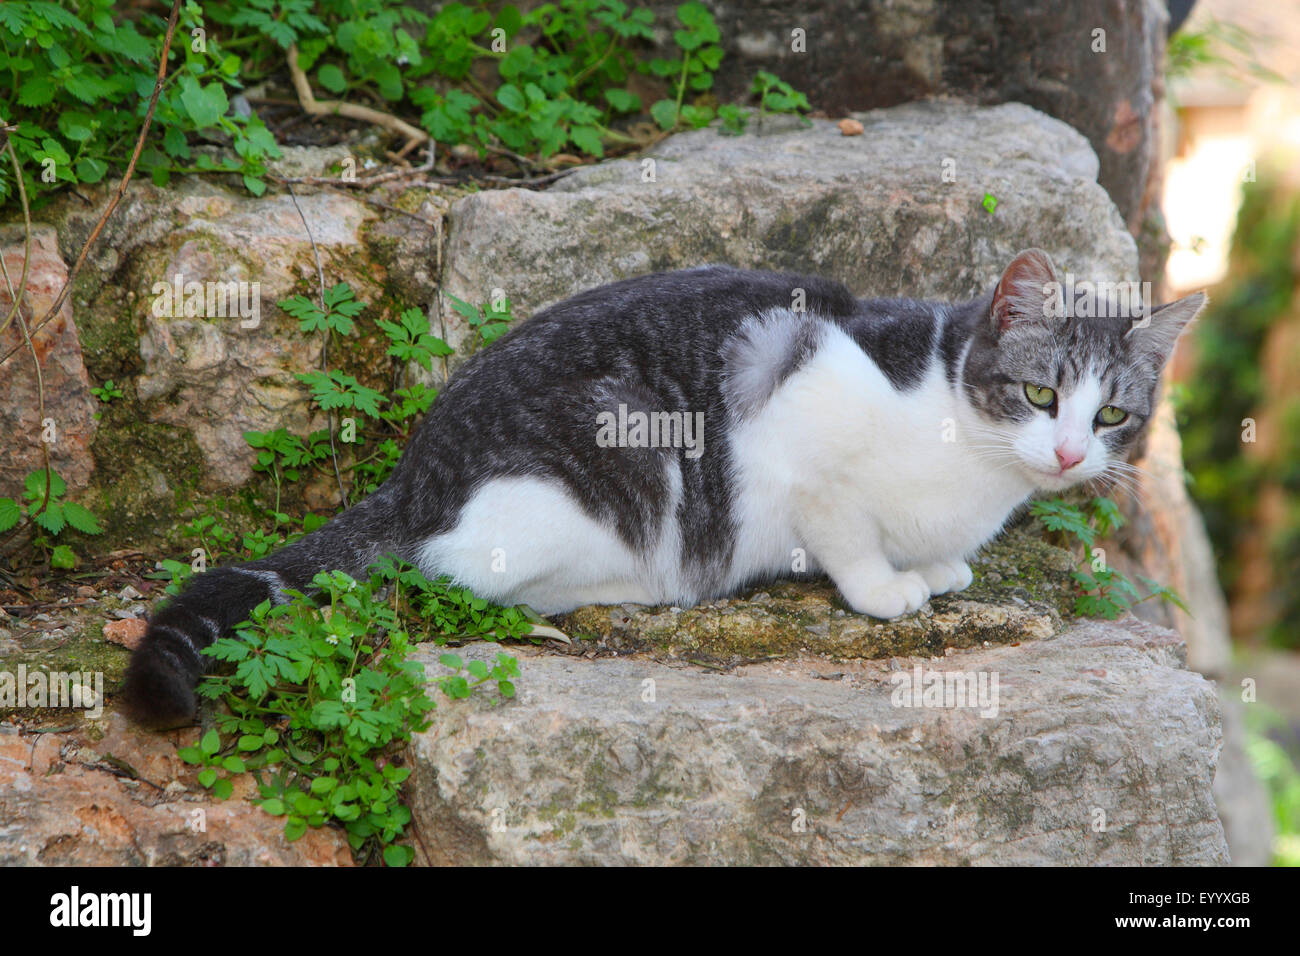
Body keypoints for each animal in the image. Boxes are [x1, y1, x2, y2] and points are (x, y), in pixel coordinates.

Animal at [124, 251, 1206, 728]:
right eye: (1039, 394)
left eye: (1113, 414)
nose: (1067, 456)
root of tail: (412, 475)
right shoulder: (799, 423)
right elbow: (846, 530)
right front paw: (884, 585)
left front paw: (940, 565)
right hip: (616, 462)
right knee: (465, 574)